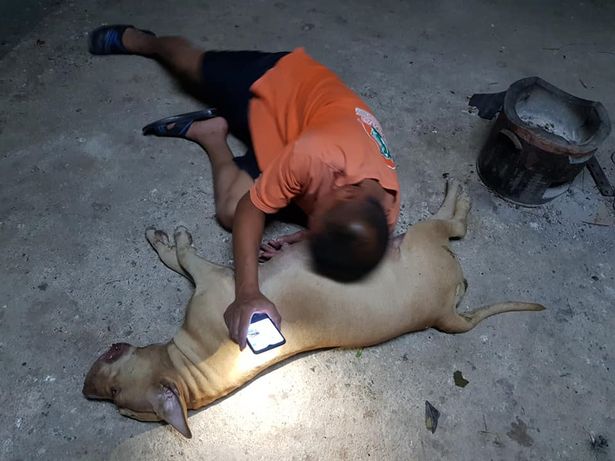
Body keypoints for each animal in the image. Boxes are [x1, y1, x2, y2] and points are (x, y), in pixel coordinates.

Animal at [82, 181, 544, 436]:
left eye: (114, 392)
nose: (86, 390)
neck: (186, 366)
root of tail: (445, 314)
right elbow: (182, 259)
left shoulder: (213, 278)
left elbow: (180, 257)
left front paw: (168, 240)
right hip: (423, 243)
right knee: (453, 227)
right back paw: (457, 201)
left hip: (420, 238)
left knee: (453, 225)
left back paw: (456, 197)